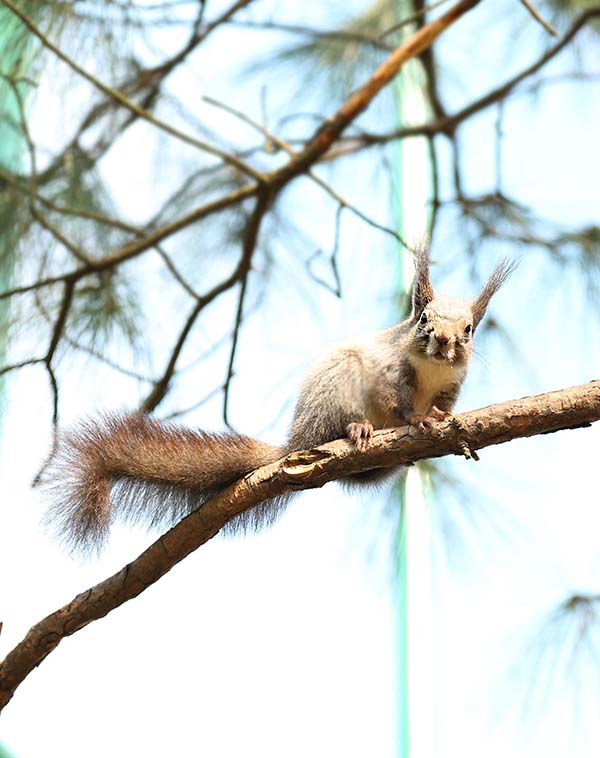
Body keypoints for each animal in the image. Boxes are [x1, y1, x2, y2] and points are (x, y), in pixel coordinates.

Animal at [43, 246, 510, 556]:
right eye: (424, 319)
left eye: (468, 330)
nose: (444, 341)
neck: (431, 370)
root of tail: (294, 444)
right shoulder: (387, 372)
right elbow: (396, 402)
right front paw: (418, 419)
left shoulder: (453, 386)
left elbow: (447, 406)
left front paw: (441, 419)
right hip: (334, 392)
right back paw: (356, 428)